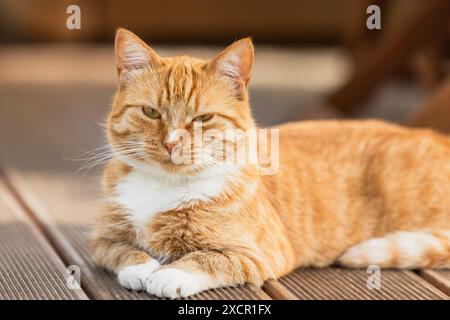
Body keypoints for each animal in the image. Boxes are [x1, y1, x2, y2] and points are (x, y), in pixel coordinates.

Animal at [92, 28, 450, 298]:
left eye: (204, 118)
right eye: (150, 112)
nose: (171, 143)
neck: (165, 186)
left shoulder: (259, 254)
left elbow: (206, 259)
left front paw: (169, 275)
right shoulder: (100, 241)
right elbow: (121, 251)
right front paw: (141, 267)